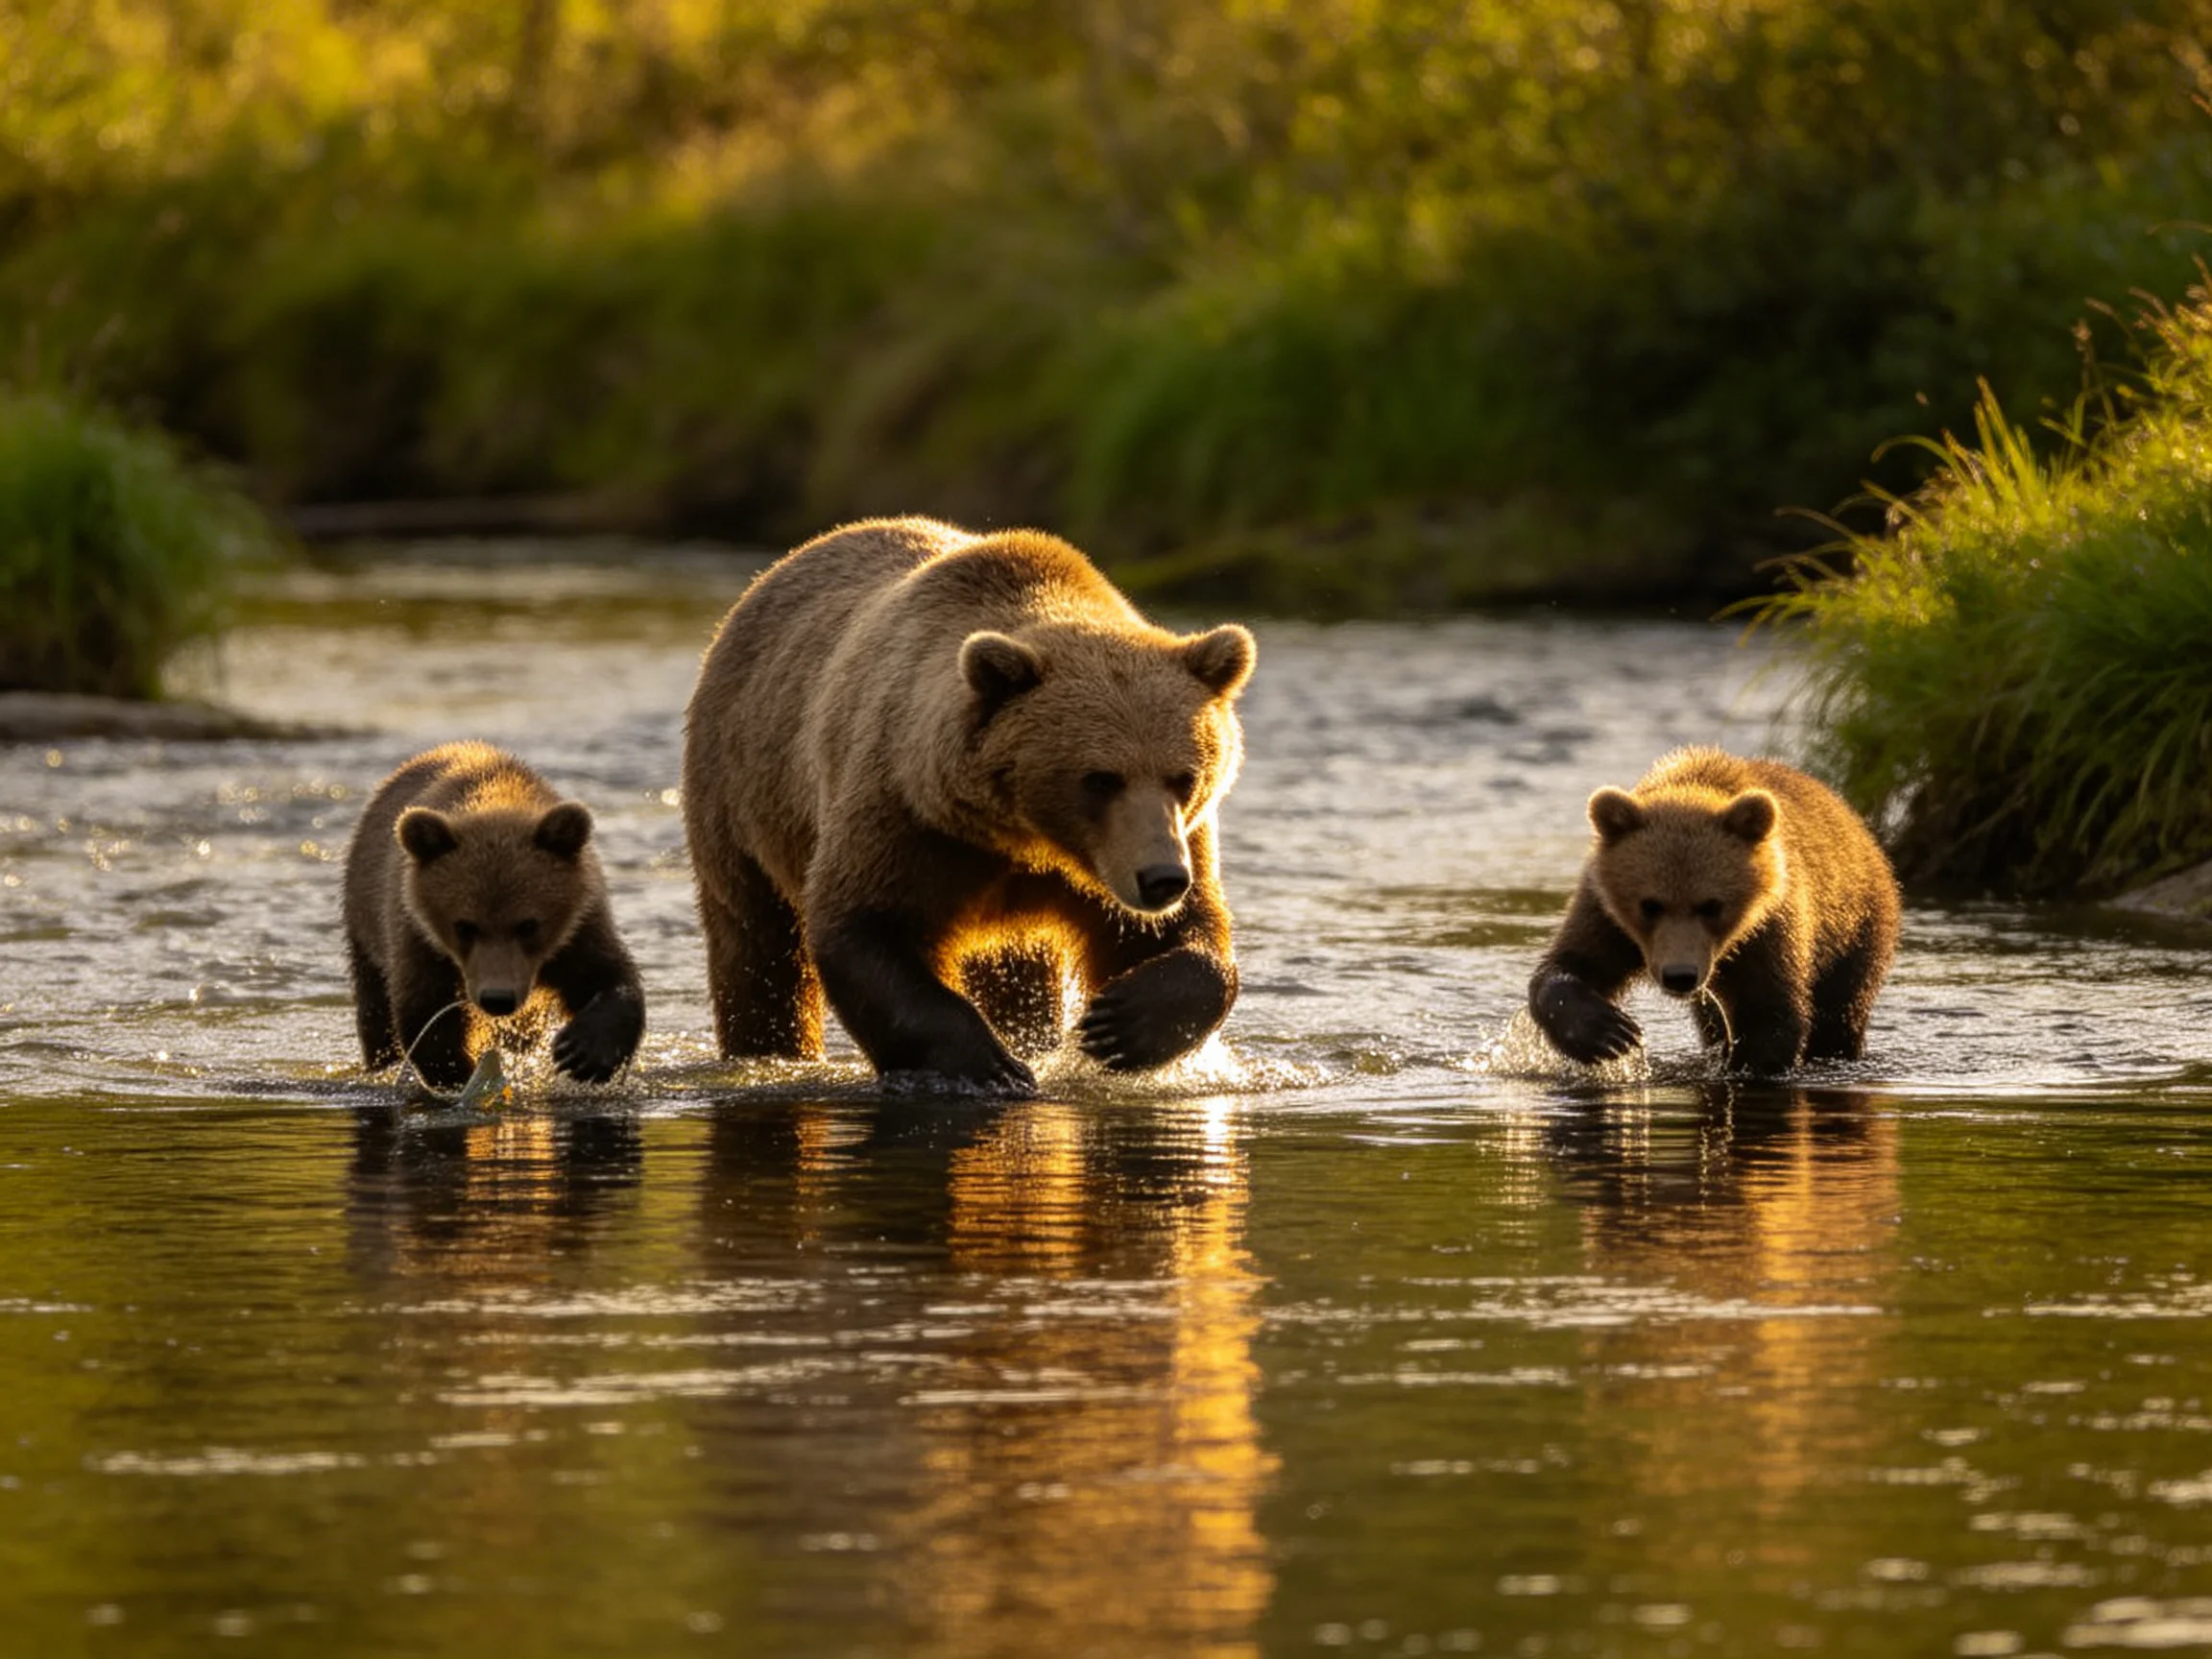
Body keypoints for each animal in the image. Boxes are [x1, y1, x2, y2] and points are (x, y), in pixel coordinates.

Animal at [342, 742, 646, 1089]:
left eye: (529, 925)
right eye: (464, 926)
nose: (497, 998)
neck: (495, 796)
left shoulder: (578, 927)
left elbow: (608, 976)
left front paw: (584, 1053)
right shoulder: (418, 935)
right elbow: (424, 1011)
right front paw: (463, 1070)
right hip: (363, 921)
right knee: (375, 1008)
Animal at [681, 516, 1257, 1097]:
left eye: (1184, 777)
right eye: (1100, 779)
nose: (1161, 878)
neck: (1025, 837)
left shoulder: (1149, 847)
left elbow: (1180, 937)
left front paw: (1118, 1023)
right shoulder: (908, 815)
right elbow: (866, 925)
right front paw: (990, 1063)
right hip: (740, 790)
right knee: (757, 945)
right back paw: (768, 1049)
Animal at [1527, 746, 1901, 1076]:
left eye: (1711, 905)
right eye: (1650, 905)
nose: (1680, 975)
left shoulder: (1769, 927)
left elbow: (1769, 1009)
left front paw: (1749, 1064)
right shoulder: (1607, 914)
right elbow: (1571, 963)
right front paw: (1607, 1033)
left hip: (1854, 930)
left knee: (1839, 1013)